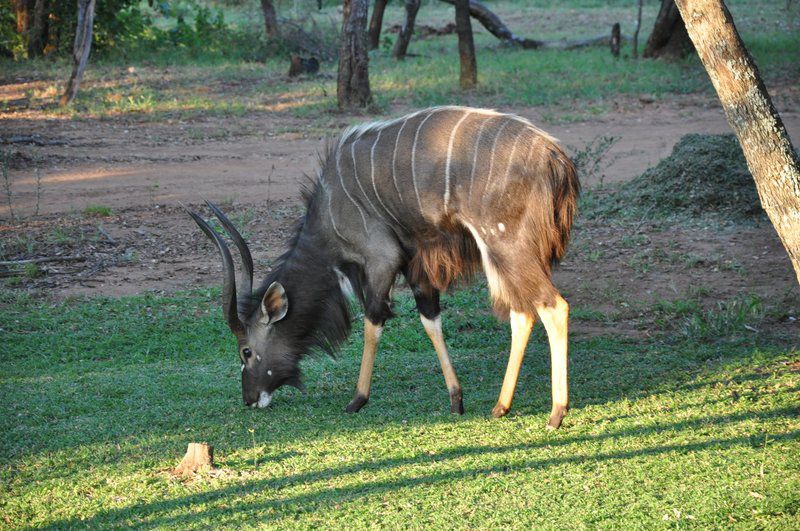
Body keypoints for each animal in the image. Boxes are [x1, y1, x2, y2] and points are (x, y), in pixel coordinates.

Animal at [191, 106, 580, 430]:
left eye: (246, 350)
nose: (249, 399)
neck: (331, 208)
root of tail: (555, 157)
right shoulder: (416, 263)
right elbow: (430, 319)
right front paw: (456, 399)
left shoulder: (381, 259)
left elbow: (372, 323)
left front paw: (357, 400)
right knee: (522, 312)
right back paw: (501, 406)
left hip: (505, 246)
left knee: (552, 306)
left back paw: (556, 413)